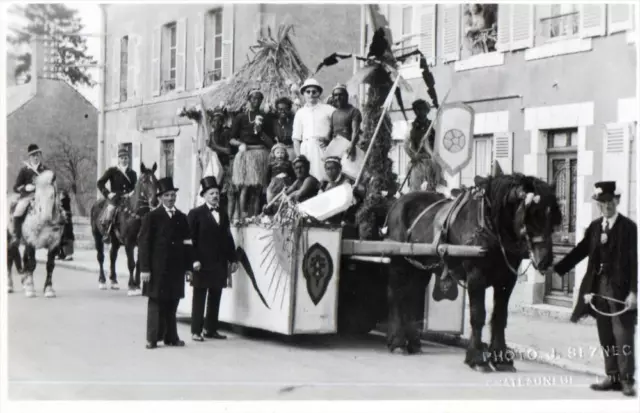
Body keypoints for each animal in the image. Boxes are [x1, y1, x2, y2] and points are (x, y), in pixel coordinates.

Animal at [6, 169, 63, 298]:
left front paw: (48, 289)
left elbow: (50, 265)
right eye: (37, 195)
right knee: (9, 259)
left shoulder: (54, 244)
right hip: (10, 239)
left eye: (52, 195)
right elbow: (32, 264)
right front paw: (30, 288)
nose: (46, 218)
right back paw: (9, 286)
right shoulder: (31, 242)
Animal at [89, 161, 159, 292]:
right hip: (97, 237)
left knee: (113, 256)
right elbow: (131, 263)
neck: (137, 215)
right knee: (101, 257)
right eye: (144, 181)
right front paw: (131, 285)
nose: (154, 202)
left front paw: (137, 284)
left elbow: (139, 263)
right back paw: (102, 281)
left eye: (156, 181)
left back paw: (114, 280)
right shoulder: (129, 242)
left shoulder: (142, 242)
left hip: (115, 241)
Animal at [384, 169, 560, 372]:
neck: (490, 225)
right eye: (530, 214)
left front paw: (501, 359)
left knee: (413, 295)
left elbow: (500, 317)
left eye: (552, 217)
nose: (545, 260)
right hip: (399, 263)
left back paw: (413, 342)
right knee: (396, 295)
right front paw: (477, 358)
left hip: (421, 266)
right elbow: (478, 315)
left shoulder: (507, 280)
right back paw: (397, 342)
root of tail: (399, 201)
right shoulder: (476, 276)